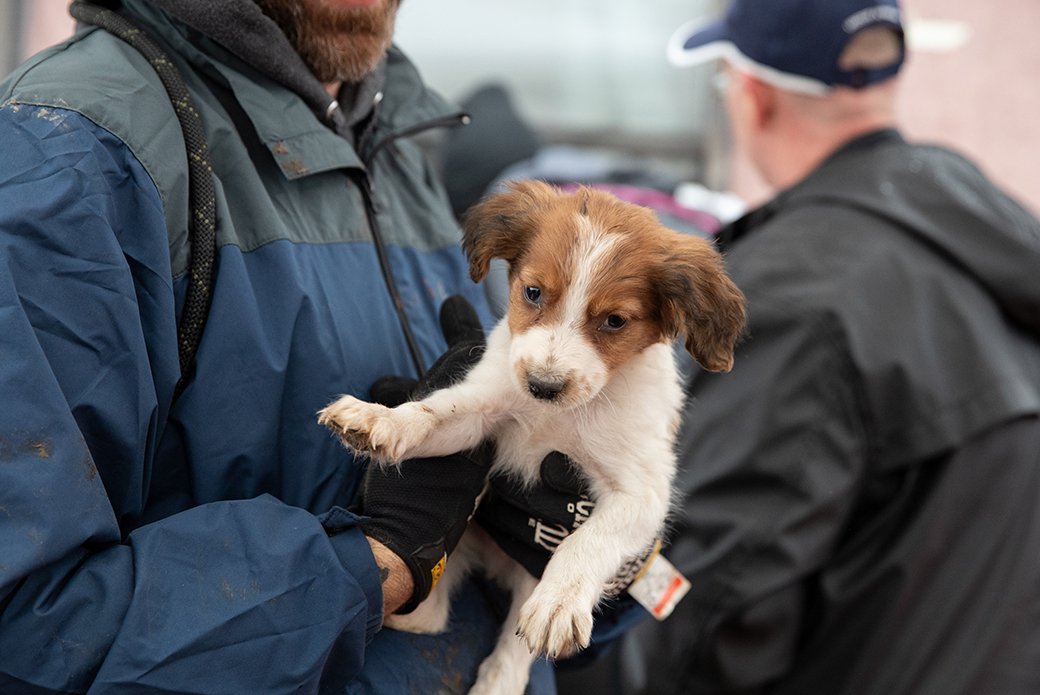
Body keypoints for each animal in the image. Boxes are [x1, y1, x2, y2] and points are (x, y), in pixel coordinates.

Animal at [318, 181, 748, 695]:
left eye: (615, 321)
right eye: (533, 292)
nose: (542, 385)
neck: (555, 415)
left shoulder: (642, 493)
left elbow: (585, 541)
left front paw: (559, 604)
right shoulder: (483, 410)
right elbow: (434, 412)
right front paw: (381, 419)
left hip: (526, 566)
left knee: (500, 641)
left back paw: (498, 679)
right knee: (431, 613)